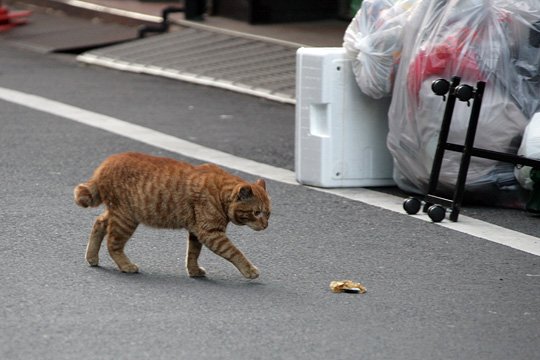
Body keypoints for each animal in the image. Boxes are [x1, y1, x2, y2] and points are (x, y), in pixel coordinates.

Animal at [73, 152, 270, 278]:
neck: (221, 193)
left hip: (118, 214)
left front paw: (193, 271)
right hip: (126, 219)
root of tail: (107, 162)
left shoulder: (197, 232)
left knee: (99, 223)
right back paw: (126, 266)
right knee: (113, 244)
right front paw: (249, 270)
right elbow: (235, 252)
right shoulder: (211, 233)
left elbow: (193, 253)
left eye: (268, 214)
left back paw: (92, 257)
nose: (265, 225)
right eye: (256, 212)